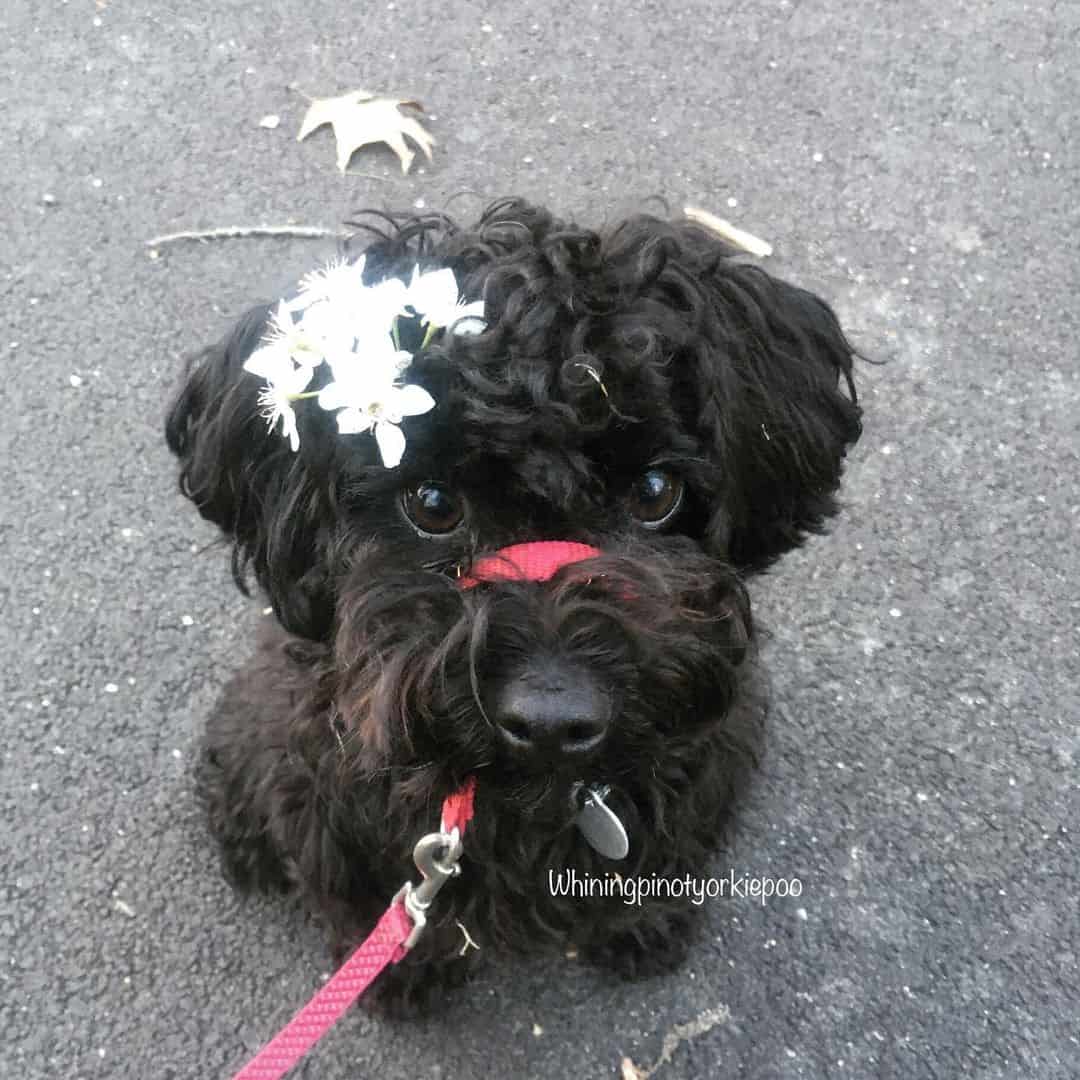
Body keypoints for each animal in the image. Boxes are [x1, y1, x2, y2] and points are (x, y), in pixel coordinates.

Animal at [166, 196, 859, 1010]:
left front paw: (643, 924)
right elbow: (362, 895)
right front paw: (405, 972)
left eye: (656, 492)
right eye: (432, 503)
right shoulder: (329, 799)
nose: (553, 722)